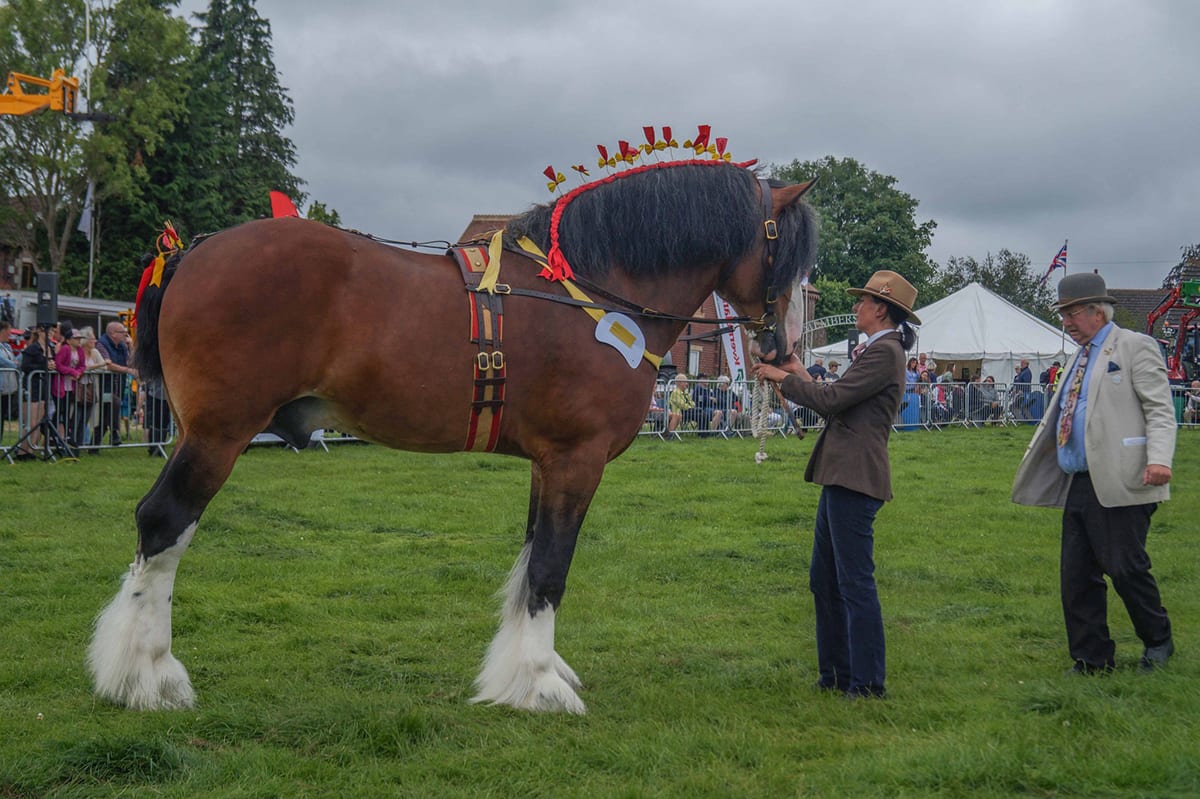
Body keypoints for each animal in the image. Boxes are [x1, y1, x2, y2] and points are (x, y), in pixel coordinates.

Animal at [87, 160, 816, 710]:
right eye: (785, 256)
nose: (783, 349)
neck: (594, 294)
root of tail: (192, 253)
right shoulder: (576, 459)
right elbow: (550, 568)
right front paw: (543, 683)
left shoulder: (546, 463)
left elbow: (529, 563)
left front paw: (516, 672)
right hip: (216, 435)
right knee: (163, 525)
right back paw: (146, 674)